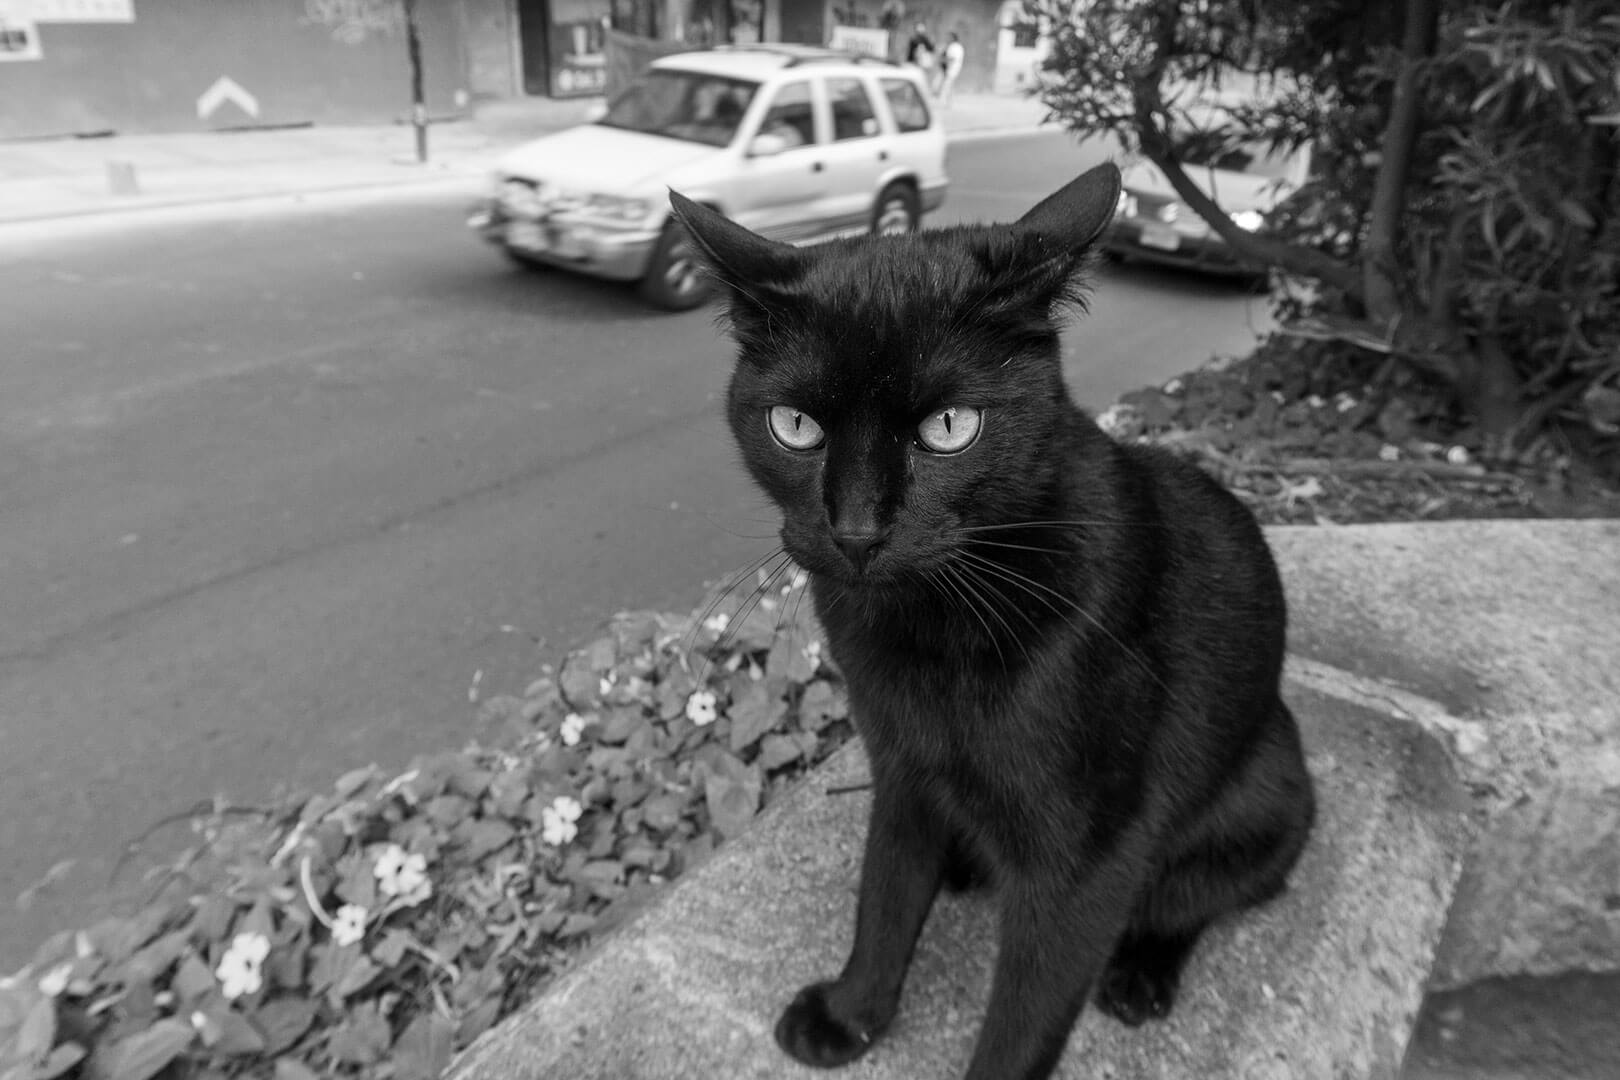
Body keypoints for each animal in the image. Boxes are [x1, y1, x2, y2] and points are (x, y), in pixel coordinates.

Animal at [669, 163, 1316, 1080]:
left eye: (950, 428)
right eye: (795, 427)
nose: (857, 531)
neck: (931, 630)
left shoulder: (1088, 860)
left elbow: (1024, 1019)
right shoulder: (901, 770)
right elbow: (885, 896)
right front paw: (852, 1014)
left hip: (1267, 799)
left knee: (1197, 900)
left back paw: (1141, 976)